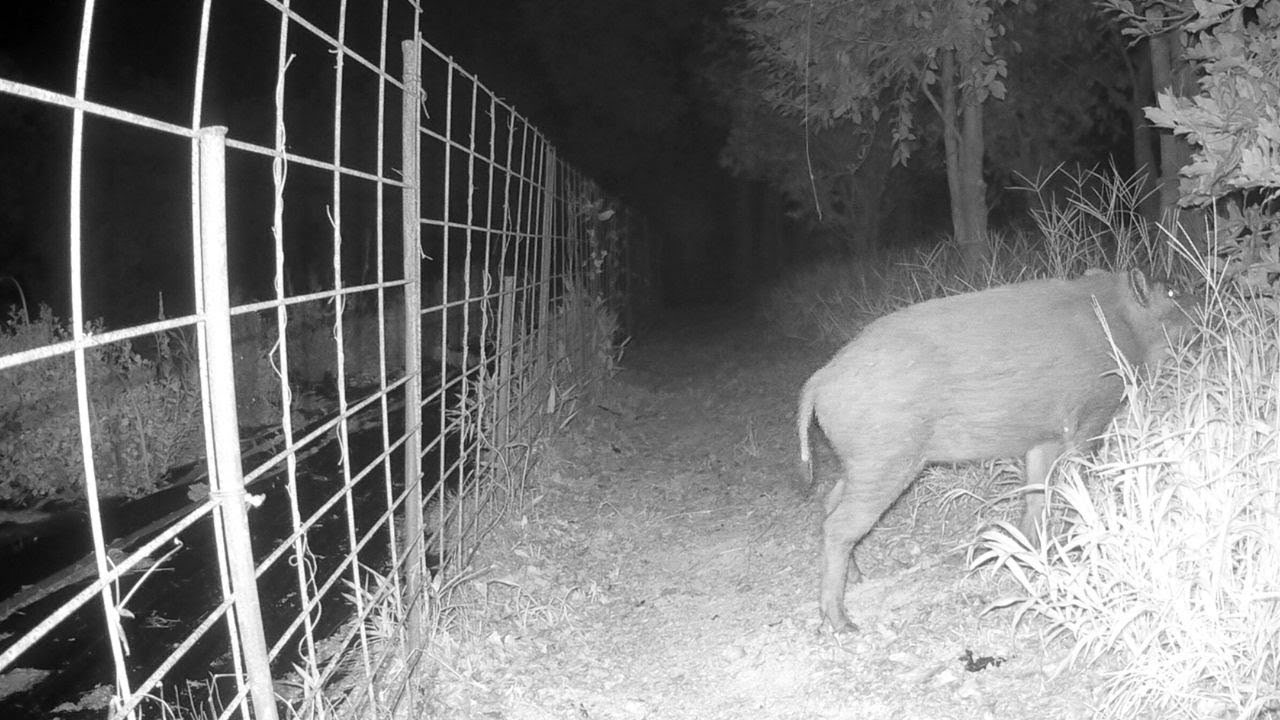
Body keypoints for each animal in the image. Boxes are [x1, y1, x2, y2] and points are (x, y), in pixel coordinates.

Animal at [797, 268, 1195, 633]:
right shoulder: (1092, 416)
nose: (1202, 307)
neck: (1121, 326)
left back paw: (860, 578)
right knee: (838, 525)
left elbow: (1036, 494)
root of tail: (818, 381)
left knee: (830, 501)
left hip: (858, 463)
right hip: (884, 459)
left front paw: (1033, 551)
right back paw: (843, 624)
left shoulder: (1043, 437)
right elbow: (1076, 480)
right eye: (1172, 292)